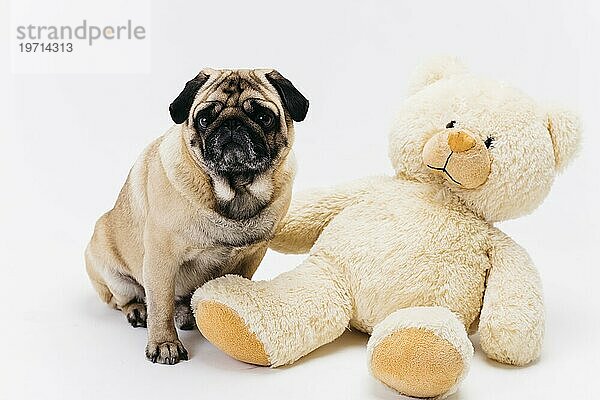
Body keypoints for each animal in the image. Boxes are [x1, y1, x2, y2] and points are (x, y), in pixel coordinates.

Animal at [85, 69, 310, 366]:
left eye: (264, 117)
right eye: (205, 119)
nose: (232, 125)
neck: (235, 189)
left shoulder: (252, 254)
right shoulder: (161, 258)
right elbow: (160, 305)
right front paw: (164, 343)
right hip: (109, 268)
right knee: (126, 298)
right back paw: (138, 310)